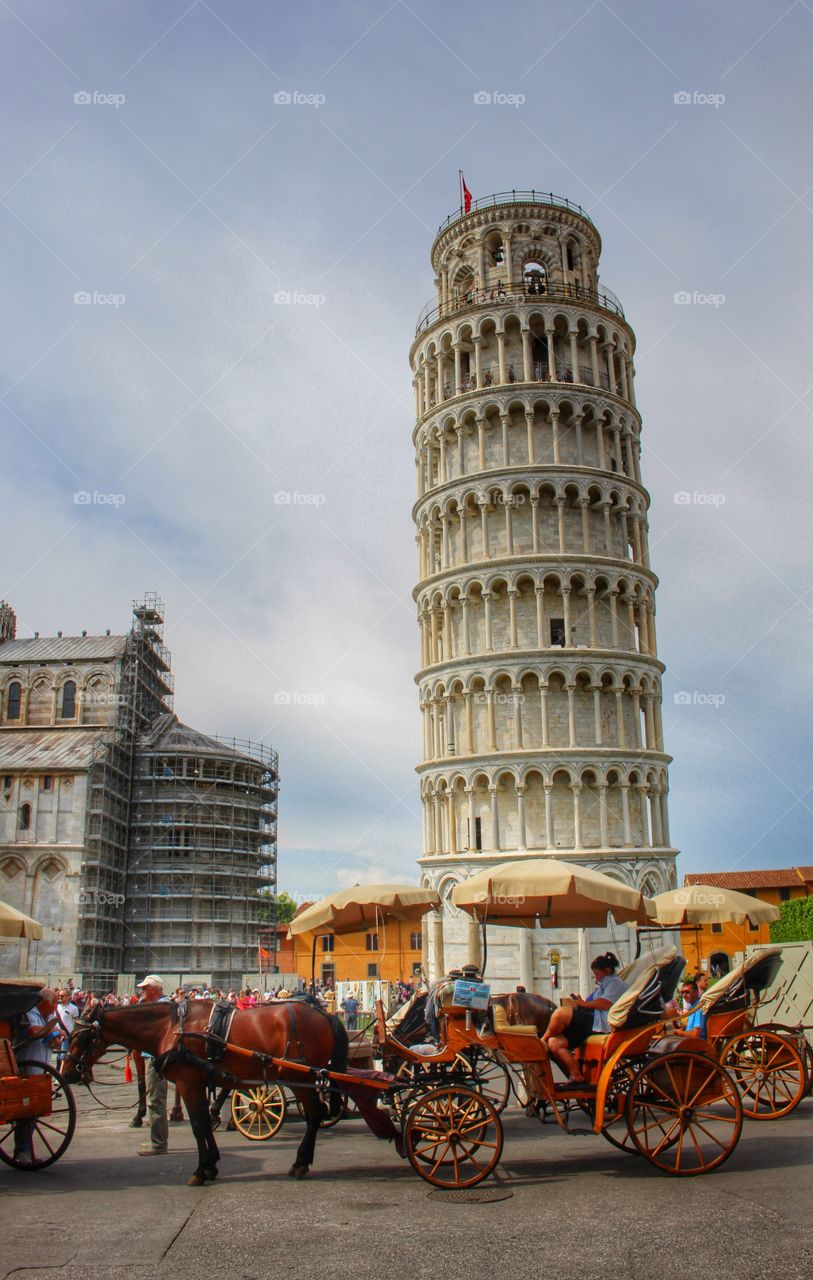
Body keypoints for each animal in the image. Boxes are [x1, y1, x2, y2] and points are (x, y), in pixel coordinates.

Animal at [61, 997, 353, 1185]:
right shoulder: (198, 1082)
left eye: (79, 1036)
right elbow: (202, 1121)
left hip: (297, 1075)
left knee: (315, 1114)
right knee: (316, 1113)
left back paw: (301, 1162)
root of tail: (326, 1014)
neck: (170, 1027)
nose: (66, 1073)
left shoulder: (187, 1081)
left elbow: (198, 1125)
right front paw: (211, 1164)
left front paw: (201, 1169)